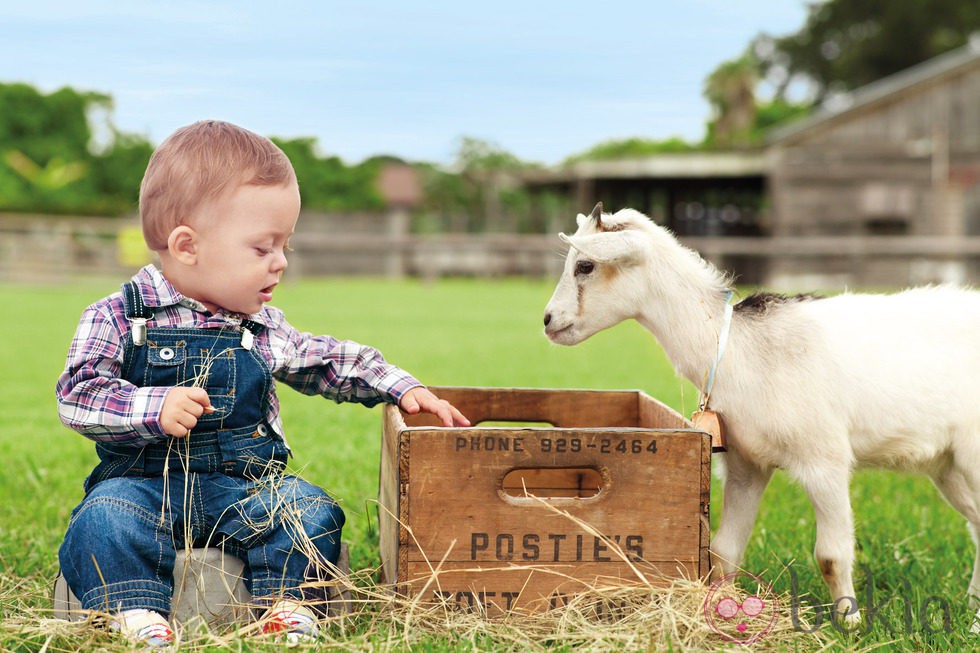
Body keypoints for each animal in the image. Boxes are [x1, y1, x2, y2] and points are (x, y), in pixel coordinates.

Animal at [540, 202, 980, 620]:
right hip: (947, 464)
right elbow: (723, 549)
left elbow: (831, 556)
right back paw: (972, 603)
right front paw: (724, 607)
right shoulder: (745, 463)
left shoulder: (825, 459)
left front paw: (850, 624)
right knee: (977, 522)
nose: (547, 321)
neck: (735, 346)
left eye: (585, 265)